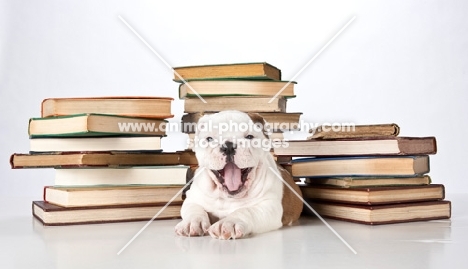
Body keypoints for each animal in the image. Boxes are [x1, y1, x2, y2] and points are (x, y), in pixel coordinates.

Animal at [176, 109, 304, 239]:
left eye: (249, 137)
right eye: (209, 139)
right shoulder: (192, 199)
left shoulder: (269, 206)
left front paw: (229, 223)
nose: (228, 146)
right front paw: (192, 222)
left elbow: (246, 211)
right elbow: (194, 209)